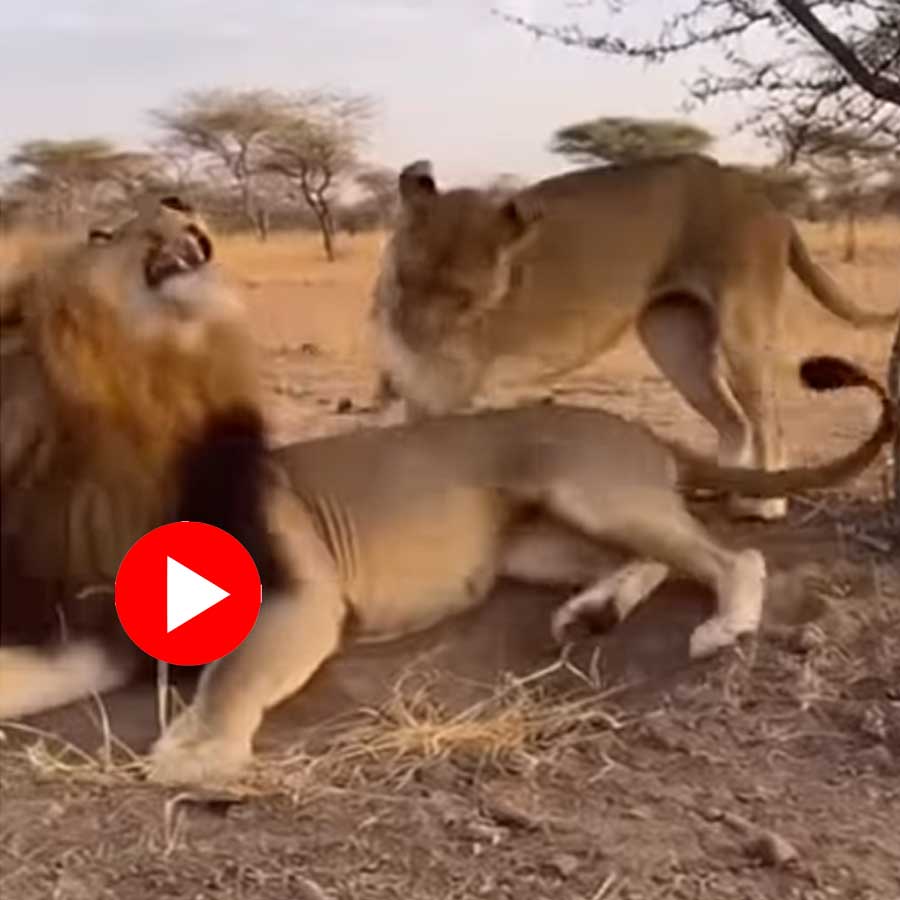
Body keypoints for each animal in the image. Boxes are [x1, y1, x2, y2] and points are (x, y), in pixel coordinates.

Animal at [0, 195, 893, 788]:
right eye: (100, 233)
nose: (175, 201)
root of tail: (638, 429)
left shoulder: (302, 597)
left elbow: (235, 677)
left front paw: (196, 753)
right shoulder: (108, 631)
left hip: (588, 488)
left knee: (731, 555)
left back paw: (722, 626)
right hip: (538, 542)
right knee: (659, 559)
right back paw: (591, 611)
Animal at [369, 155, 899, 522]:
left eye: (464, 298)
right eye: (407, 279)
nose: (413, 336)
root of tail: (768, 202)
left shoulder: (456, 393)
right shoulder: (421, 391)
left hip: (741, 328)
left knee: (767, 419)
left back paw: (763, 505)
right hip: (674, 340)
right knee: (733, 420)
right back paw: (717, 487)